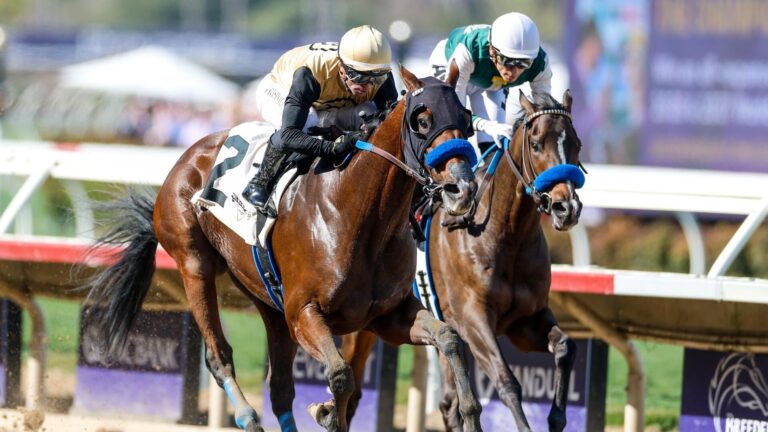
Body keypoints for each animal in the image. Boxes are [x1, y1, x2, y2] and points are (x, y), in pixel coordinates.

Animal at [81, 67, 485, 432]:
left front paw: (469, 414)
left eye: (466, 119)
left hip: (265, 298)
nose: (462, 189)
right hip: (194, 265)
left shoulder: (386, 315)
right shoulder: (304, 312)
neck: (361, 214)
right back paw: (247, 416)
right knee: (218, 354)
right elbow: (341, 376)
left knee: (278, 387)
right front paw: (325, 410)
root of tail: (187, 157)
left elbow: (449, 339)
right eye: (423, 120)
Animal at [343, 90, 584, 432]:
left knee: (447, 402)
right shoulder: (473, 319)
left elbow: (566, 348)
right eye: (536, 144)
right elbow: (507, 381)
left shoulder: (525, 321)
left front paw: (557, 418)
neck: (505, 233)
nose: (567, 208)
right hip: (358, 325)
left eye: (576, 144)